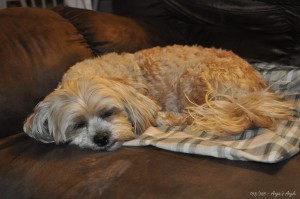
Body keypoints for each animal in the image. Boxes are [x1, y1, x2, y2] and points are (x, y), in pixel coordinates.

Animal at [23, 45, 296, 151]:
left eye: (109, 112)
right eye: (78, 124)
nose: (101, 139)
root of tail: (258, 88)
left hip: (192, 78)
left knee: (192, 115)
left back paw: (171, 118)